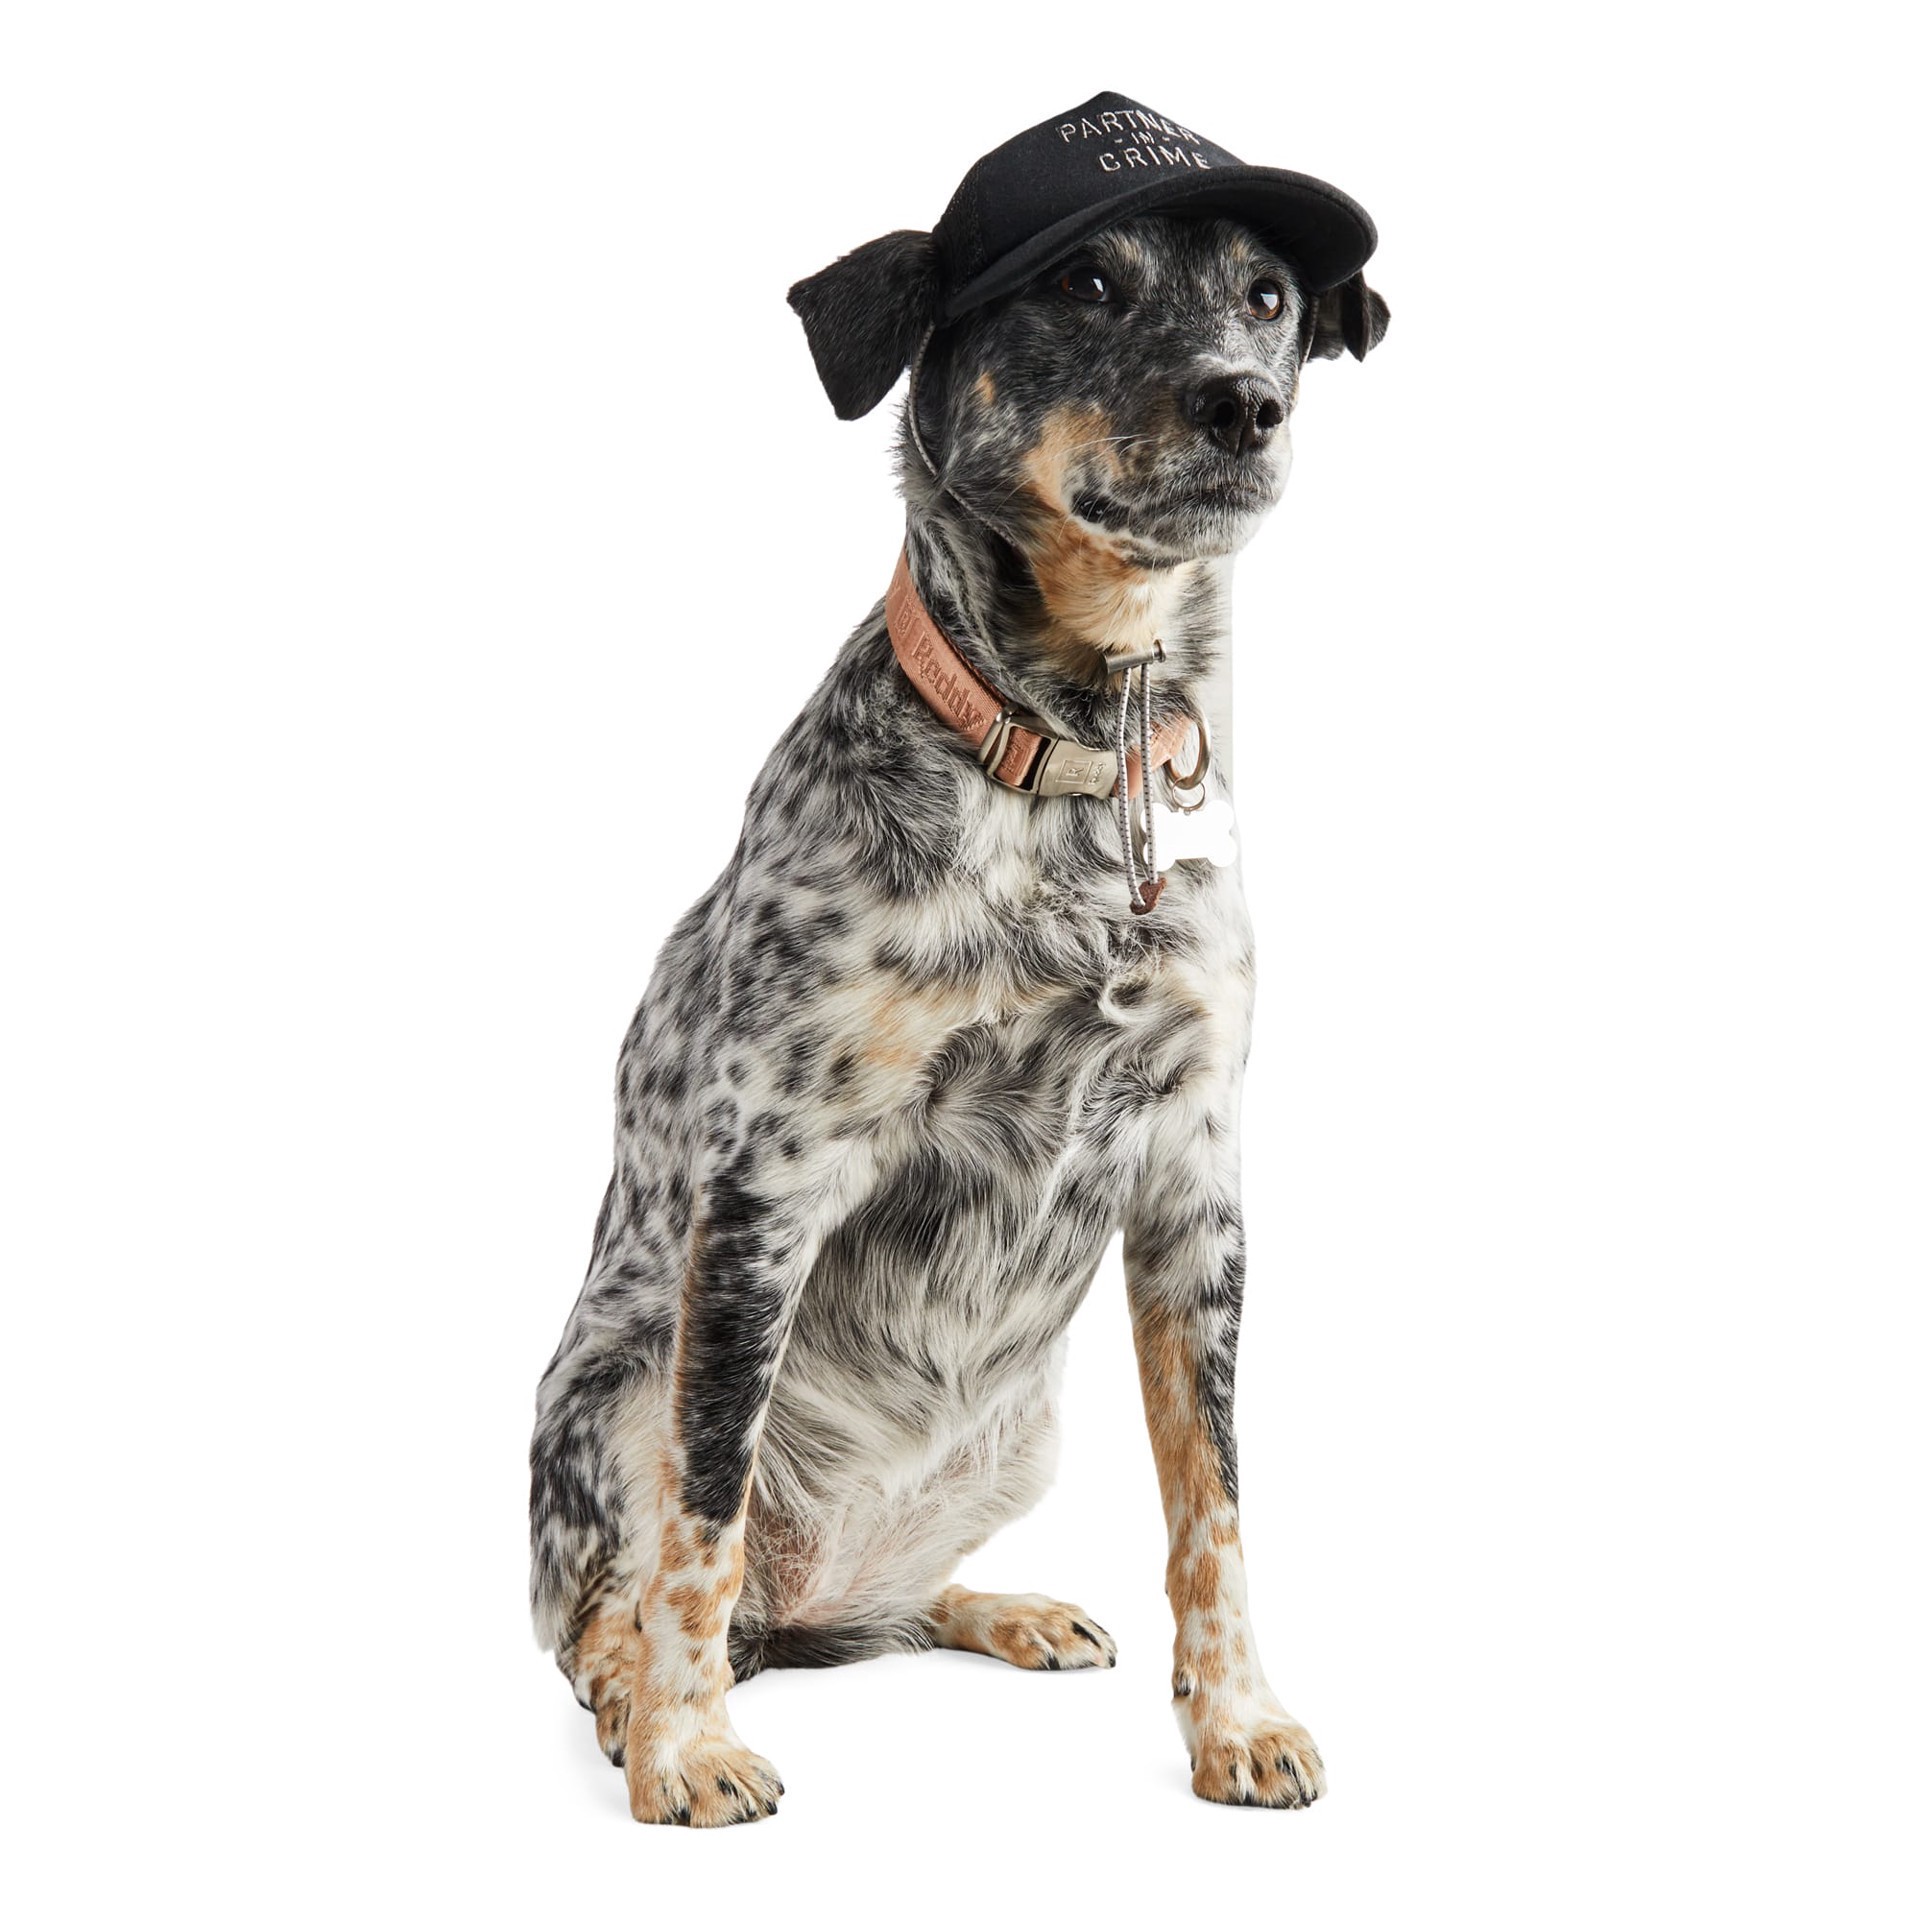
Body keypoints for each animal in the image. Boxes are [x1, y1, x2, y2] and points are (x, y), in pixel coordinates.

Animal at [530, 194, 1387, 1825]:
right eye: (1087, 278)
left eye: (1269, 297)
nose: (1247, 402)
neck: (1078, 769)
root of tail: (807, 1601)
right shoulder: (766, 1189)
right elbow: (699, 1521)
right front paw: (684, 1747)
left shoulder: (1194, 1189)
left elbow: (1214, 1504)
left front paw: (1236, 1719)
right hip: (618, 1379)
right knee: (619, 1601)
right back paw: (633, 1691)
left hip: (1014, 1444)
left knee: (897, 1605)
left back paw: (1005, 1608)